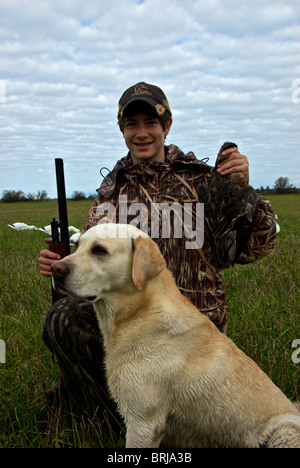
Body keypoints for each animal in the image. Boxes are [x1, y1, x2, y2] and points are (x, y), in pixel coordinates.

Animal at [51, 225, 300, 448]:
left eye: (99, 250)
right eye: (76, 245)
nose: (55, 269)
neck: (139, 313)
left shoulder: (144, 423)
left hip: (282, 433)